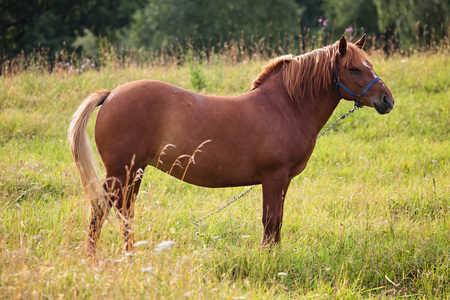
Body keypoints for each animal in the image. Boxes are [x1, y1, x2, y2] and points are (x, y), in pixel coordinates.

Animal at [67, 34, 394, 252]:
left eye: (370, 64)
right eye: (354, 68)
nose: (387, 100)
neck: (284, 106)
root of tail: (111, 94)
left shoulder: (284, 181)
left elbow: (278, 222)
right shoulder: (274, 178)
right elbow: (270, 221)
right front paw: (267, 258)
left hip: (134, 172)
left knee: (125, 213)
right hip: (118, 173)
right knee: (100, 211)